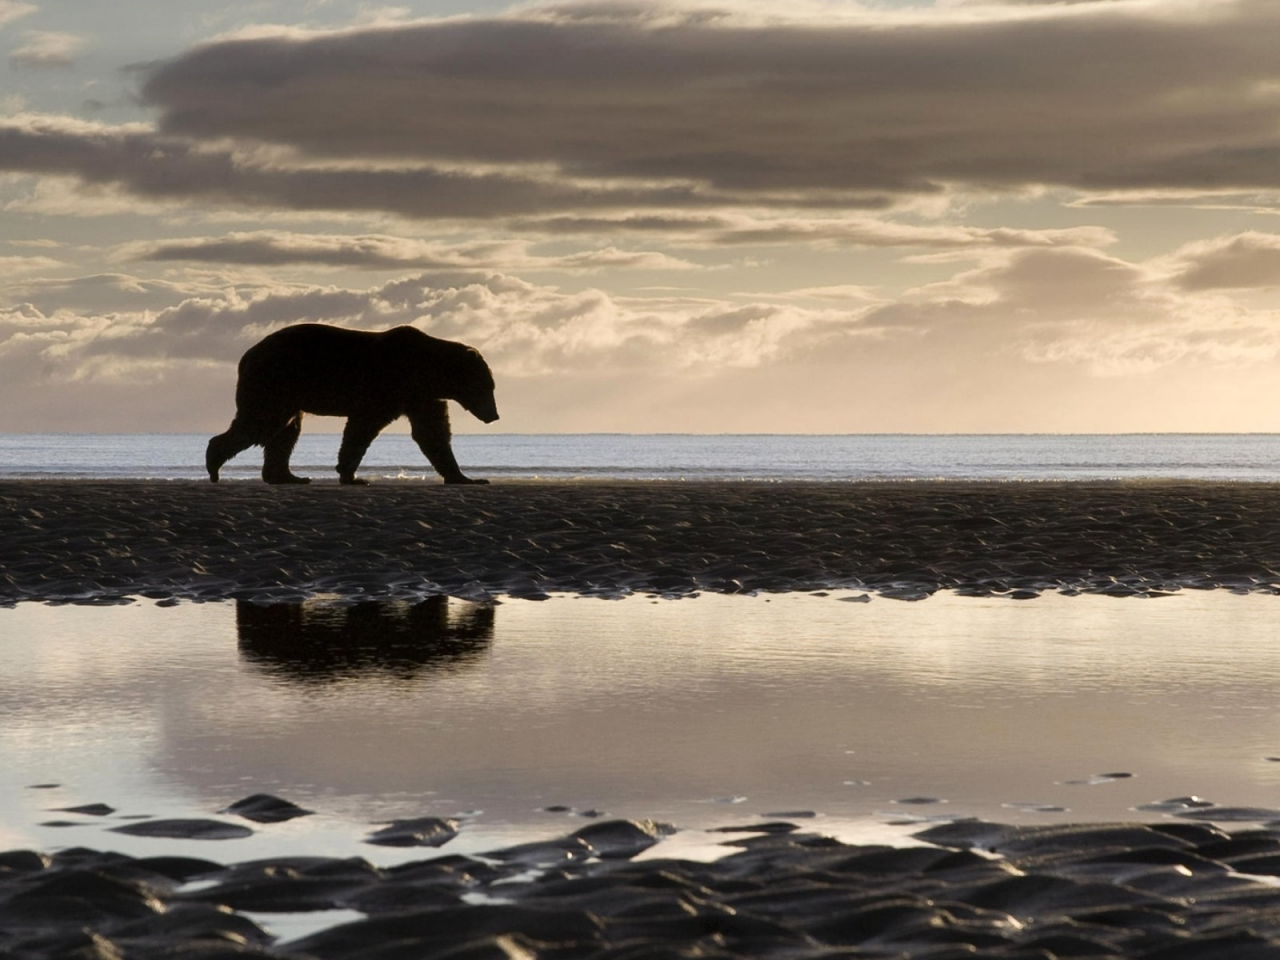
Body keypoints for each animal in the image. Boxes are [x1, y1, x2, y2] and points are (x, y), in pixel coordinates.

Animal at [206, 325, 499, 488]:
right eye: (487, 387)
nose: (494, 415)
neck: (428, 372)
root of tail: (246, 356)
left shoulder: (420, 397)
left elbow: (432, 433)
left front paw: (466, 477)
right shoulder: (388, 387)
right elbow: (363, 427)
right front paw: (353, 475)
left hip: (287, 392)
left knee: (286, 432)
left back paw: (287, 476)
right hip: (275, 381)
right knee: (262, 423)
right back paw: (214, 464)